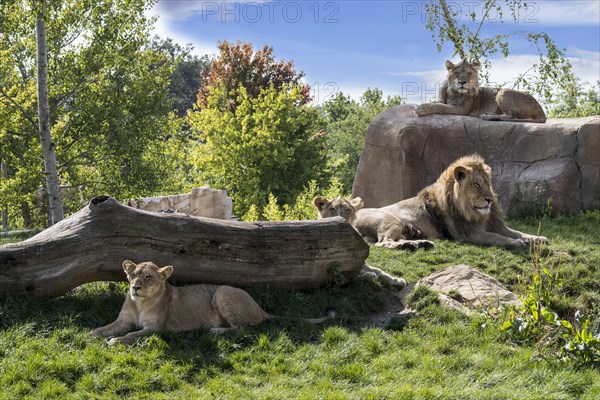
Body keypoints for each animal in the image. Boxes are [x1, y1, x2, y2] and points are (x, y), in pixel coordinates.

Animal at [95, 260, 338, 344]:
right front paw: (91, 336)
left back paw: (213, 331)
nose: (135, 287)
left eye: (148, 277)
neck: (140, 303)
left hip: (222, 292)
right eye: (132, 275)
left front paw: (115, 341)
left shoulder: (156, 329)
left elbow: (131, 335)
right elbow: (103, 328)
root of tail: (260, 308)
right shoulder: (123, 321)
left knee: (242, 329)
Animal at [318, 154, 548, 250]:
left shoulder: (496, 224)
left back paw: (419, 243)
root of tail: (352, 216)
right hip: (391, 221)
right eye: (475, 185)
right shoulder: (468, 234)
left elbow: (517, 232)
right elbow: (497, 238)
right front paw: (515, 243)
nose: (490, 200)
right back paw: (413, 246)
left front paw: (538, 238)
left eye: (487, 184)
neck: (476, 214)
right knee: (383, 243)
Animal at [414, 57, 548, 121]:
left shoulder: (461, 110)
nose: (462, 82)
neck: (453, 92)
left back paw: (487, 116)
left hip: (503, 91)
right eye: (457, 73)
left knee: (511, 116)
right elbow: (439, 103)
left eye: (468, 73)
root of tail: (541, 110)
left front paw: (421, 108)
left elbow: (441, 107)